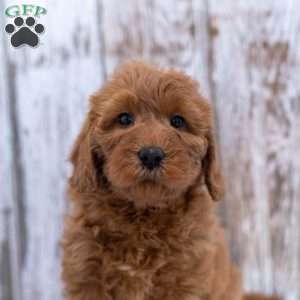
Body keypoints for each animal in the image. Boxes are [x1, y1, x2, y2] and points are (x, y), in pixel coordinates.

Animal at [61, 61, 282, 300]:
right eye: (124, 119)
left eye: (178, 121)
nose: (151, 155)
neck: (143, 215)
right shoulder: (85, 271)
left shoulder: (184, 276)